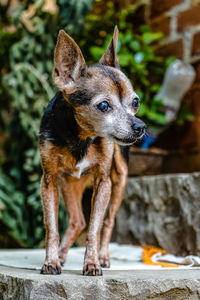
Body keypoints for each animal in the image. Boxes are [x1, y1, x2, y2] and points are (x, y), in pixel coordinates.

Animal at [39, 26, 145, 276]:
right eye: (103, 106)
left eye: (135, 102)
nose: (140, 126)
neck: (80, 137)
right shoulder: (48, 180)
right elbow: (51, 226)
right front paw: (51, 261)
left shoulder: (103, 181)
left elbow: (95, 227)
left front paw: (93, 262)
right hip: (69, 183)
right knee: (77, 220)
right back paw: (62, 255)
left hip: (119, 180)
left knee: (108, 221)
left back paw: (104, 256)